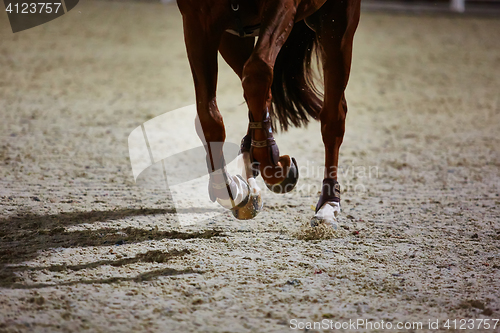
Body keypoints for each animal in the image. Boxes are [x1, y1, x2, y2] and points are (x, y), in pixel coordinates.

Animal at [176, 0, 360, 226]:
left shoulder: (282, 7)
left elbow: (257, 72)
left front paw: (273, 166)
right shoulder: (197, 20)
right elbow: (208, 114)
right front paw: (228, 188)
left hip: (337, 24)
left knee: (334, 114)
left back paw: (328, 204)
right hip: (233, 36)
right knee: (256, 89)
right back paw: (250, 153)